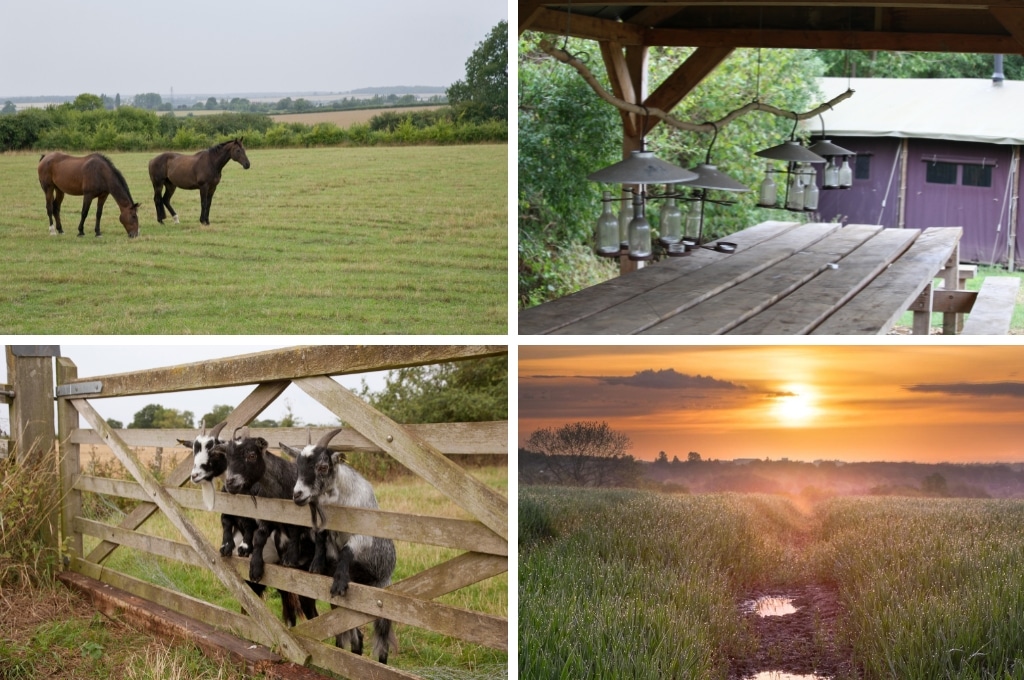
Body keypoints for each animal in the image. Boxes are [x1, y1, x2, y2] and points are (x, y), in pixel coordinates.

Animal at [288, 430, 403, 663]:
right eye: (298, 466)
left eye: (323, 467)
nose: (297, 495)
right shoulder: (327, 532)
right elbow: (322, 541)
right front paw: (317, 565)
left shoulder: (362, 534)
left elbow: (347, 551)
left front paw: (340, 581)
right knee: (353, 634)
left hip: (382, 593)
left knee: (382, 640)